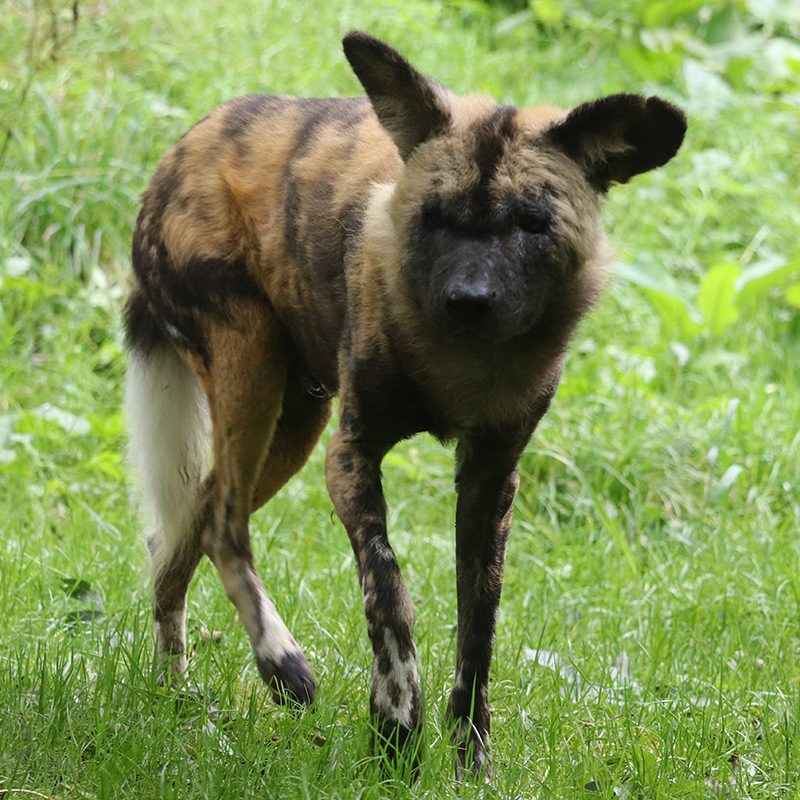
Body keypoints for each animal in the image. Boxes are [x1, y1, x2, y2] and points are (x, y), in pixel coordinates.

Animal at [125, 32, 688, 780]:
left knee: (184, 526)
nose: (469, 300)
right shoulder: (352, 455)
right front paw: (395, 726)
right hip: (256, 371)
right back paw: (282, 667)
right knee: (221, 522)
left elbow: (478, 632)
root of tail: (179, 151)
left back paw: (173, 691)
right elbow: (389, 593)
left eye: (531, 223)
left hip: (291, 424)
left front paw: (471, 761)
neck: (462, 365)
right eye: (434, 217)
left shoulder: (490, 480)